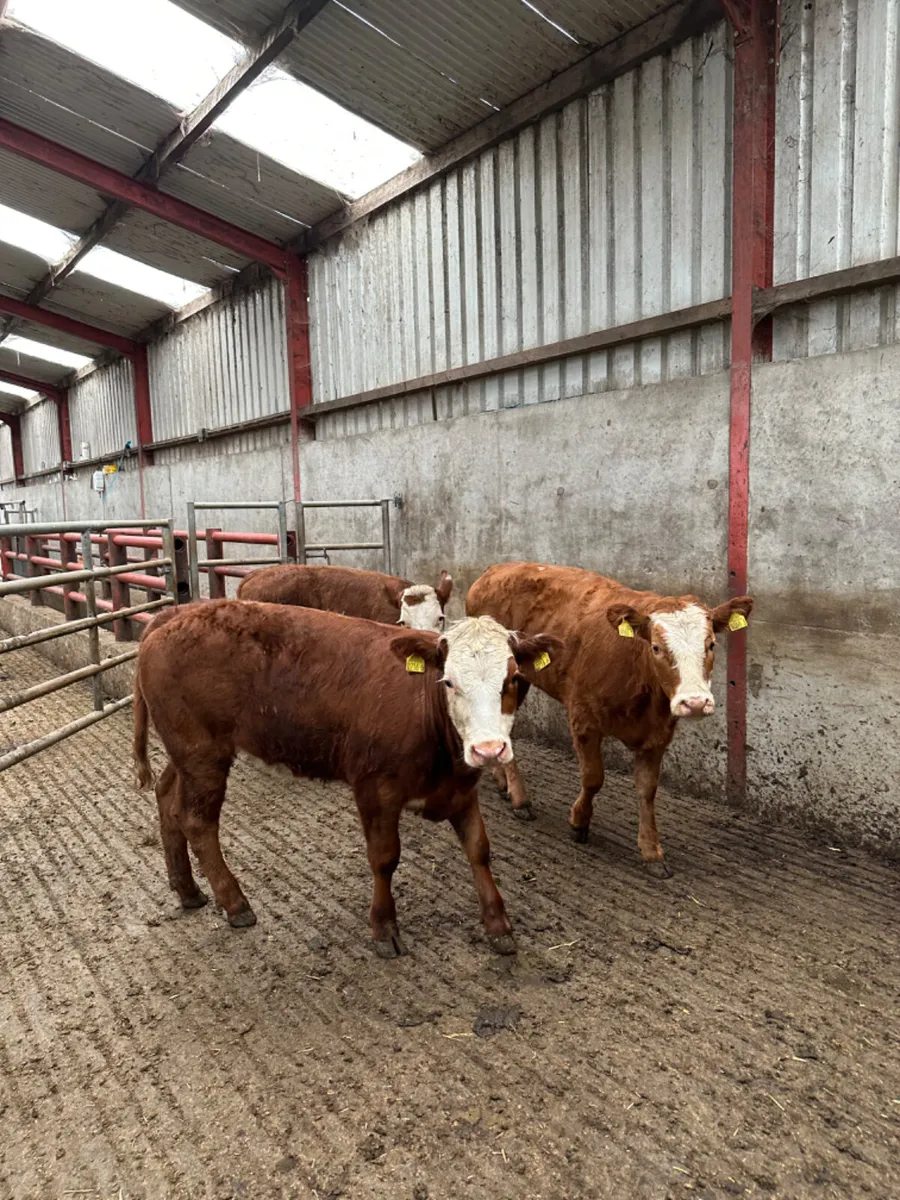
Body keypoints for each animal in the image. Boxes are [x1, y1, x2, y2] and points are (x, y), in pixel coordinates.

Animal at [133, 600, 561, 957]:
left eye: (513, 679)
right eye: (449, 682)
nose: (489, 750)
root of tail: (176, 613)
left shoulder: (460, 787)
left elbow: (479, 850)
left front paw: (498, 924)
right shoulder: (375, 787)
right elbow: (384, 857)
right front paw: (384, 927)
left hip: (188, 753)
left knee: (168, 799)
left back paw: (188, 889)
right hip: (203, 753)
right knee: (197, 821)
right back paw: (234, 902)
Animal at [466, 562, 752, 877]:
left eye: (711, 645)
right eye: (656, 648)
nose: (695, 703)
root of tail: (497, 568)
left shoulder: (658, 735)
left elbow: (647, 790)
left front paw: (651, 851)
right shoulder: (583, 718)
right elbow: (593, 778)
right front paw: (579, 822)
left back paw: (502, 781)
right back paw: (520, 799)